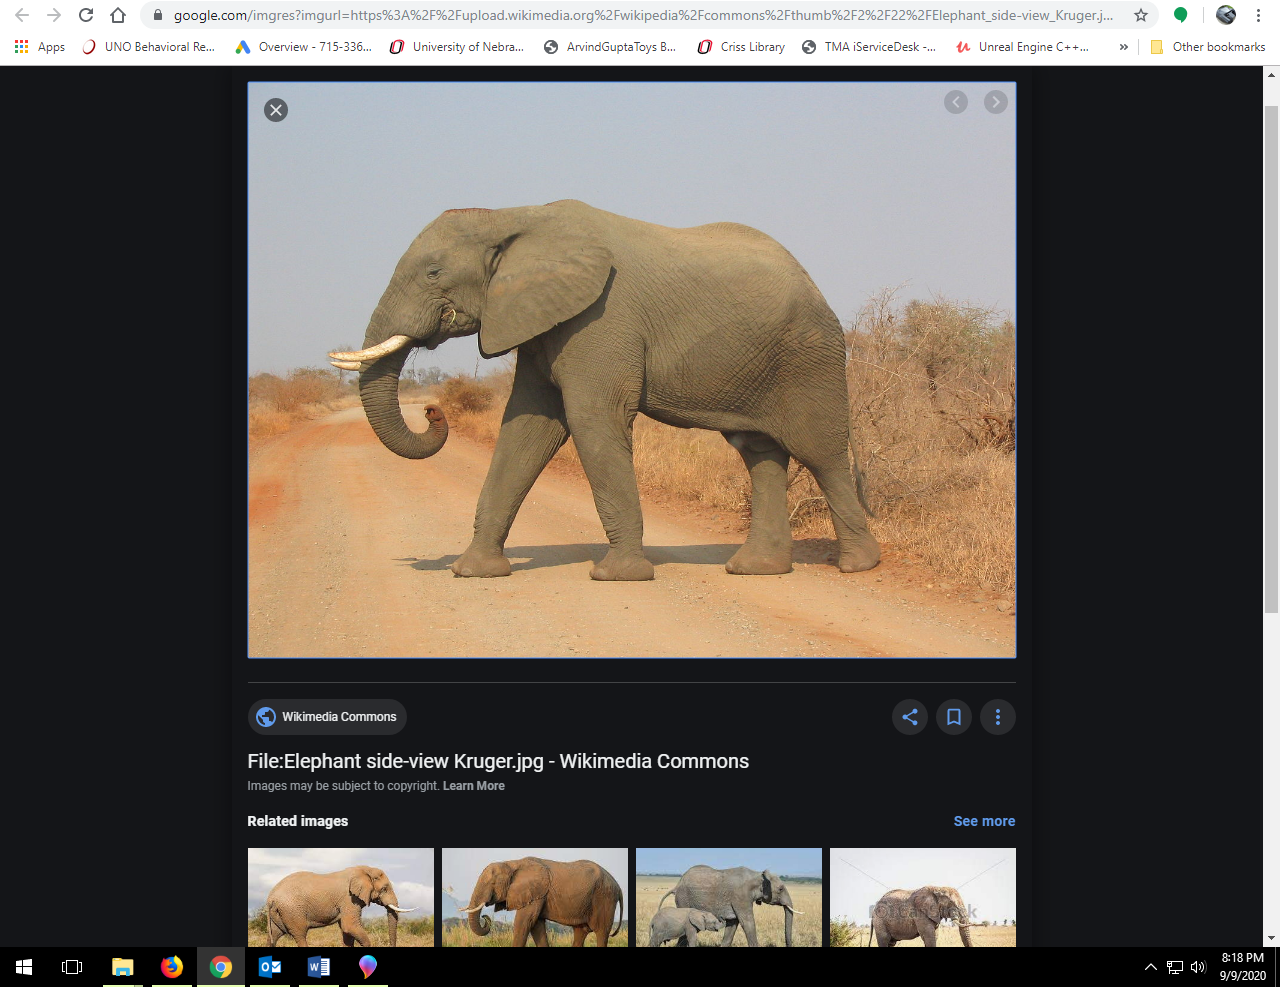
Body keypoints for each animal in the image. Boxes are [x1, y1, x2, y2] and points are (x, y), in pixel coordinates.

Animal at [265, 866, 415, 948]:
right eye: (384, 889)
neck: (364, 869)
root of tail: (270, 897)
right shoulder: (349, 898)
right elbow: (350, 926)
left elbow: (346, 929)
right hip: (292, 910)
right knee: (300, 935)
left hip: (279, 913)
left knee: (273, 935)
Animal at [329, 200, 879, 582]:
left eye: (433, 273)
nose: (432, 412)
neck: (512, 214)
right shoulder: (542, 320)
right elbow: (527, 428)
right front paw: (473, 572)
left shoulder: (601, 318)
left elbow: (591, 418)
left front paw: (618, 576)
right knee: (759, 452)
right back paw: (756, 570)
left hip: (809, 355)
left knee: (822, 452)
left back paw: (858, 566)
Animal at [458, 856, 623, 946]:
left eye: (492, 883)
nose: (485, 917)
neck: (512, 863)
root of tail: (618, 885)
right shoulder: (536, 895)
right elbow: (536, 925)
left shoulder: (536, 892)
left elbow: (524, 922)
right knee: (580, 932)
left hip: (605, 898)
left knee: (601, 932)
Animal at [657, 864, 803, 947]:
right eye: (780, 889)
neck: (757, 875)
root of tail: (677, 884)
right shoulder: (741, 897)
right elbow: (748, 923)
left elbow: (733, 924)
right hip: (683, 899)